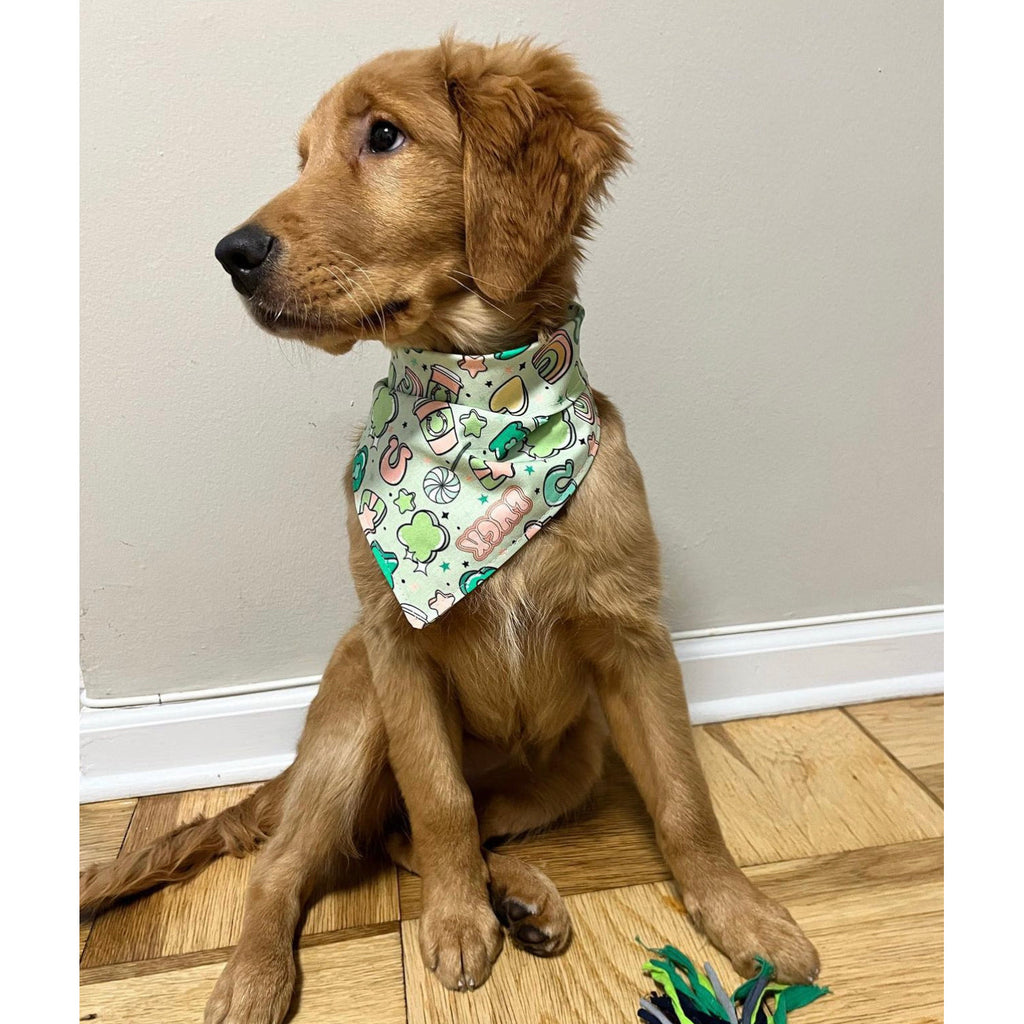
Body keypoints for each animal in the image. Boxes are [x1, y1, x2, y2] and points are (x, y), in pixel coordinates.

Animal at [79, 34, 819, 1024]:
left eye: (384, 136)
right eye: (302, 157)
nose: (232, 253)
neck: (482, 417)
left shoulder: (634, 640)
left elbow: (683, 801)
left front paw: (743, 918)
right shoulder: (400, 652)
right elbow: (438, 803)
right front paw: (459, 922)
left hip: (572, 760)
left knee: (409, 835)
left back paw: (525, 897)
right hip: (355, 710)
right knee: (292, 862)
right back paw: (257, 975)